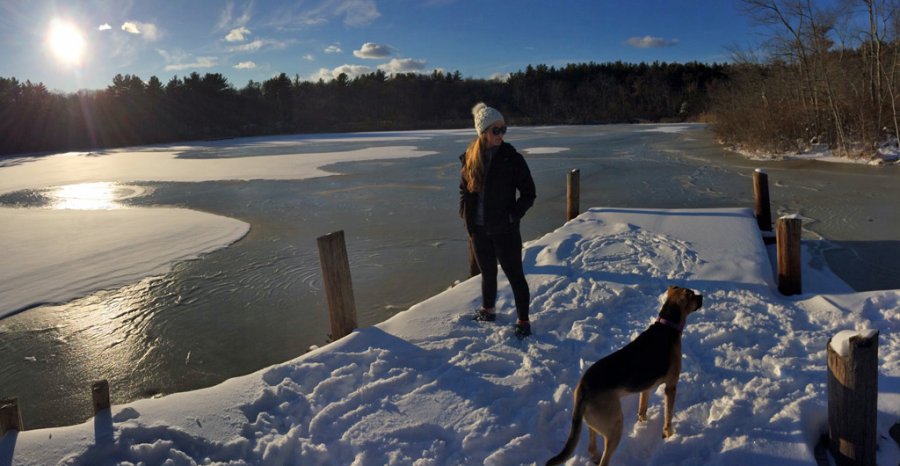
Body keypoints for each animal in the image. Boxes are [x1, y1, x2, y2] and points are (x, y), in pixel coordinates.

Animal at [548, 286, 704, 464]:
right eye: (693, 295)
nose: (703, 297)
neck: (667, 326)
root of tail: (583, 390)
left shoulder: (646, 388)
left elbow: (642, 408)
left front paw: (642, 423)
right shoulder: (671, 386)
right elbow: (668, 416)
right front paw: (668, 435)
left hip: (593, 421)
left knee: (592, 445)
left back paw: (594, 456)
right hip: (615, 426)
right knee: (604, 459)